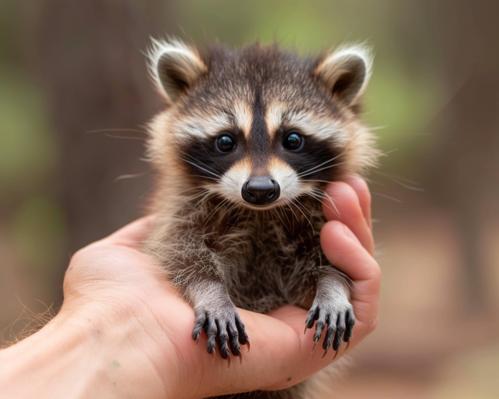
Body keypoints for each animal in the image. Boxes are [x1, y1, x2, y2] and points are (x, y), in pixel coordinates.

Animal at [145, 38, 378, 399]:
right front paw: (210, 290)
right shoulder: (180, 210)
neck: (261, 214)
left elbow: (328, 263)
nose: (259, 189)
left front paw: (332, 285)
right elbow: (179, 251)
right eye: (225, 140)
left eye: (293, 139)